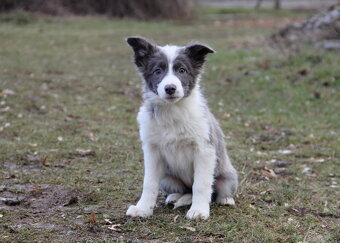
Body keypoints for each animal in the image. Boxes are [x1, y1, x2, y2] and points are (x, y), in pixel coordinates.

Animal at [125, 36, 239, 220]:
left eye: (182, 70)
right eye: (158, 71)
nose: (170, 88)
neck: (172, 111)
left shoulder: (204, 151)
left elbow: (201, 184)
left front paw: (199, 211)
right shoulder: (152, 150)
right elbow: (149, 183)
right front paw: (142, 209)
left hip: (227, 176)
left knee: (214, 191)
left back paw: (225, 199)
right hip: (167, 178)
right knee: (185, 190)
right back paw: (176, 197)